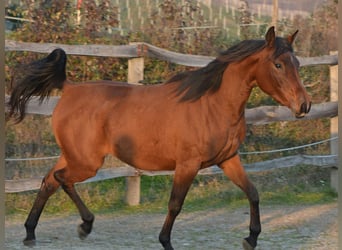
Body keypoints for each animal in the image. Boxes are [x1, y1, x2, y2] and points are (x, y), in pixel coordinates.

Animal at [6, 26, 310, 249]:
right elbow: (175, 205)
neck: (212, 104)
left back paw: (31, 234)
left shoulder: (228, 159)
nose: (304, 105)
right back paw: (85, 225)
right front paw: (166, 242)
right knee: (61, 179)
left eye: (296, 62)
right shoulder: (187, 164)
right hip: (86, 163)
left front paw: (251, 238)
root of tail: (68, 88)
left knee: (48, 181)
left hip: (73, 156)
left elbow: (253, 193)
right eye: (278, 65)